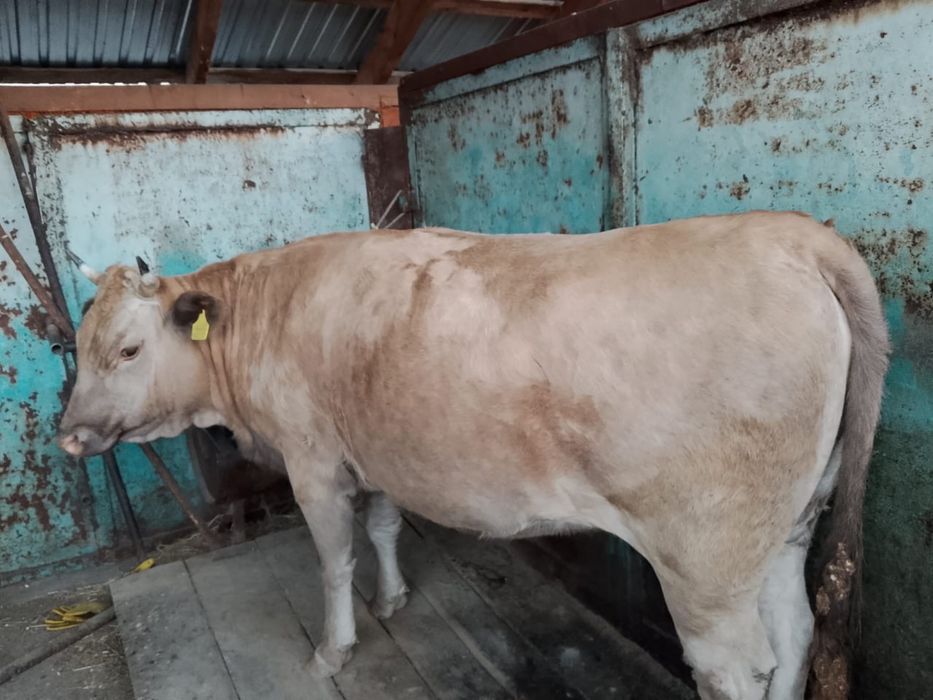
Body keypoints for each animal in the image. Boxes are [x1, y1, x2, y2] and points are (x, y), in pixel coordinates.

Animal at [58, 212, 888, 700]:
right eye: (78, 343)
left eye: (127, 349)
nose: (69, 434)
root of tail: (791, 232)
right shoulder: (376, 446)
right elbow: (384, 527)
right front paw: (393, 598)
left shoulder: (313, 460)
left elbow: (333, 560)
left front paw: (333, 651)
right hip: (788, 522)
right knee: (795, 634)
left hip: (705, 555)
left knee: (735, 669)